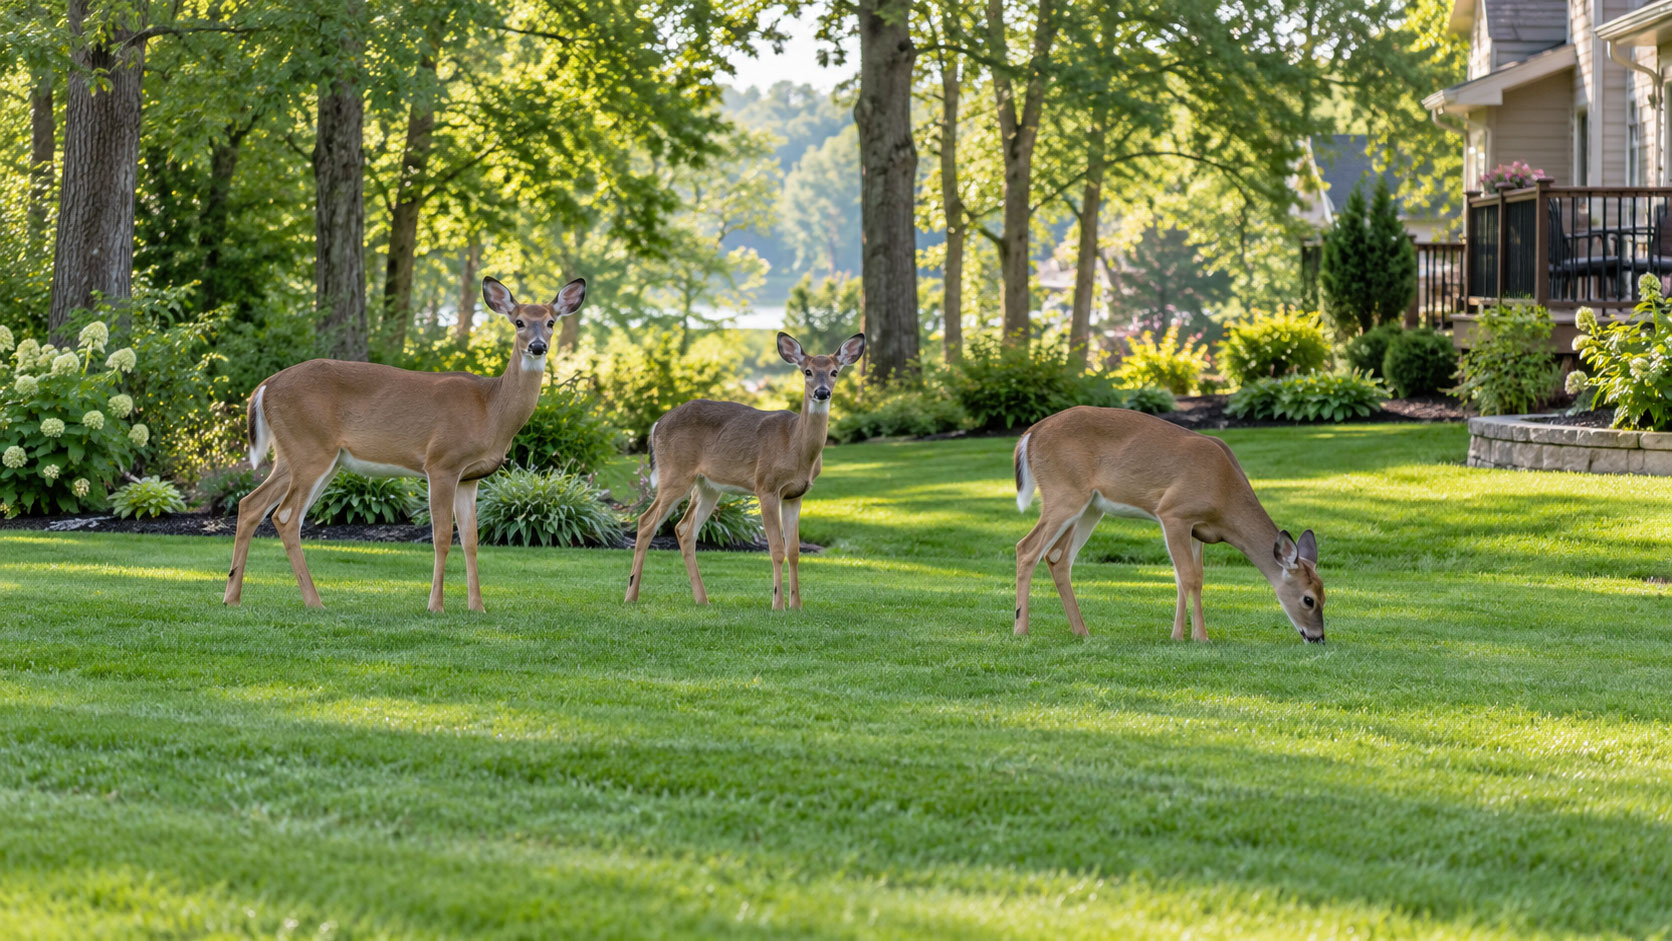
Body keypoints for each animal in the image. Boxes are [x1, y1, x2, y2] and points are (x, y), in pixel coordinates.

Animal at [222, 276, 587, 613]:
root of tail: (265, 386)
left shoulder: (470, 477)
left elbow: (471, 540)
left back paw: (232, 597)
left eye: (551, 322)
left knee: (251, 504)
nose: (537, 346)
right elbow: (442, 537)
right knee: (286, 518)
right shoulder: (442, 463)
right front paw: (436, 606)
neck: (491, 408)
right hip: (310, 448)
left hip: (297, 455)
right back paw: (314, 602)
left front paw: (477, 607)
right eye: (519, 321)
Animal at [624, 331, 865, 610]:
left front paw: (797, 606)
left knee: (684, 530)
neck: (795, 446)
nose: (822, 392)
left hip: (707, 486)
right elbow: (776, 549)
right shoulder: (766, 486)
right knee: (646, 522)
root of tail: (656, 424)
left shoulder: (795, 495)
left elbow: (794, 551)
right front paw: (778, 605)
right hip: (675, 474)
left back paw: (703, 600)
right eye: (808, 371)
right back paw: (631, 596)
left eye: (835, 372)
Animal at [1013, 406, 1325, 643]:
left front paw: (1178, 636)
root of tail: (1030, 434)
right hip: (1064, 493)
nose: (1318, 637)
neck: (1224, 492)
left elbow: (1188, 578)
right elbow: (1189, 577)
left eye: (1325, 595)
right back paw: (1021, 630)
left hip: (1090, 507)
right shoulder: (1174, 513)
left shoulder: (1198, 530)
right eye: (1309, 599)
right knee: (1027, 548)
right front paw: (1200, 637)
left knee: (1058, 557)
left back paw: (1082, 631)